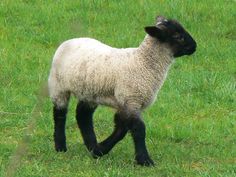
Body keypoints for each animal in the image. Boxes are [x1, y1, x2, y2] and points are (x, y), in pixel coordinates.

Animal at [48, 15, 197, 167]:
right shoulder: (131, 99)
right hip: (58, 86)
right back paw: (60, 146)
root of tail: (69, 40)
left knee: (83, 115)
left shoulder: (127, 103)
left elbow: (121, 129)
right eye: (178, 36)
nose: (194, 46)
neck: (143, 63)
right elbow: (138, 130)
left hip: (89, 91)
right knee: (60, 114)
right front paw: (145, 160)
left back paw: (91, 145)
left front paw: (99, 150)